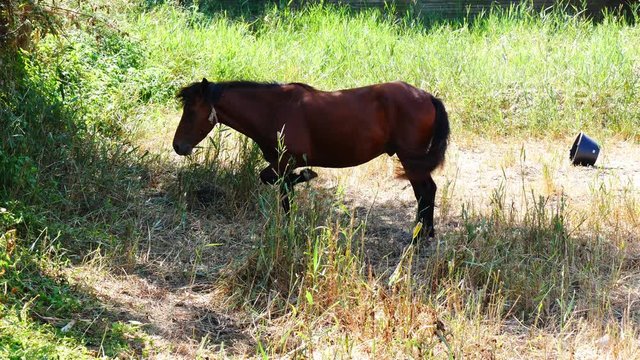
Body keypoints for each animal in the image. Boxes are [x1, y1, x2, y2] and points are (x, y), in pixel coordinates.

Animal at [172, 77, 448, 238]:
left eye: (192, 110)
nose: (178, 146)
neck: (274, 109)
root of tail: (427, 96)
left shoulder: (286, 162)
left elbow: (281, 188)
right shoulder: (280, 164)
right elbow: (279, 187)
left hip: (411, 160)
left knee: (425, 191)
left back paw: (421, 236)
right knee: (426, 191)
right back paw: (424, 232)